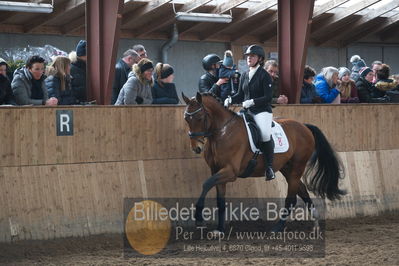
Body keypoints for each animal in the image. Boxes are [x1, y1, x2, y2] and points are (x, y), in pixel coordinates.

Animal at [183, 92, 346, 232]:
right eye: (186, 119)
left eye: (199, 117)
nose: (196, 148)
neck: (222, 133)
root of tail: (304, 126)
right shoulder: (217, 170)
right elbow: (219, 199)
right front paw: (219, 229)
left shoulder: (230, 172)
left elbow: (206, 184)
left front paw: (199, 218)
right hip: (287, 169)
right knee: (302, 190)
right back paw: (315, 222)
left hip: (297, 167)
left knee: (291, 199)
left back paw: (278, 227)